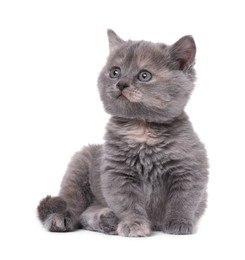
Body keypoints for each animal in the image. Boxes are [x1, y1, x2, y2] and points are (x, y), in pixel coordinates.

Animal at [37, 29, 209, 237]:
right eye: (115, 72)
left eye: (144, 75)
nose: (121, 83)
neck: (142, 129)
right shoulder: (117, 173)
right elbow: (128, 203)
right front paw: (134, 224)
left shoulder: (190, 169)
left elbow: (183, 200)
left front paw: (179, 223)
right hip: (79, 166)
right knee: (73, 206)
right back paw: (64, 220)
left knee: (87, 214)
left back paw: (106, 220)